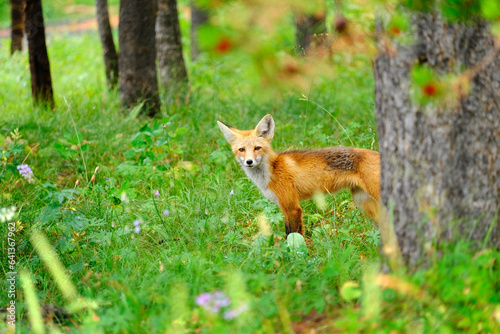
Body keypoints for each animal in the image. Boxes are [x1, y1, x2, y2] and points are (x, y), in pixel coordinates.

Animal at [217, 114, 380, 235]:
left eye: (257, 148)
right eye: (242, 149)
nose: (249, 162)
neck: (272, 171)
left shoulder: (292, 207)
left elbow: (293, 235)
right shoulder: (283, 207)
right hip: (363, 203)